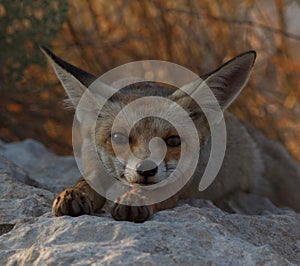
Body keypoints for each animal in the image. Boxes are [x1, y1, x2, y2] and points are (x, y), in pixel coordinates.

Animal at [40, 46, 300, 222]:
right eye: (118, 138)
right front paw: (74, 194)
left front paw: (135, 199)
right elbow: (87, 180)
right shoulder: (93, 161)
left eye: (173, 140)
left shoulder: (182, 182)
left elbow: (157, 190)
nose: (146, 170)